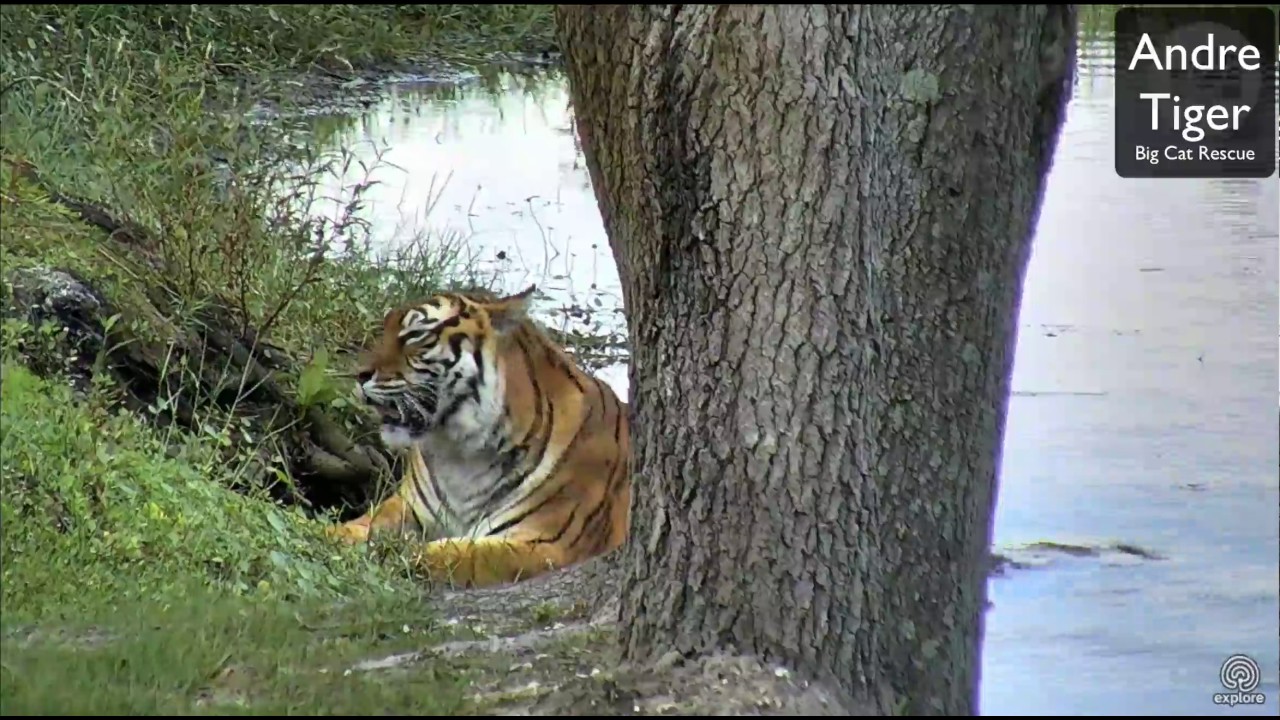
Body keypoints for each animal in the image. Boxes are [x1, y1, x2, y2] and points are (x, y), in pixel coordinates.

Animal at [325, 284, 632, 589]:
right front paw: (324, 534)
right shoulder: (407, 507)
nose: (359, 374)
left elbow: (449, 555)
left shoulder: (546, 541)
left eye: (415, 335)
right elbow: (360, 525)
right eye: (384, 329)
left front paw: (389, 555)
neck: (460, 453)